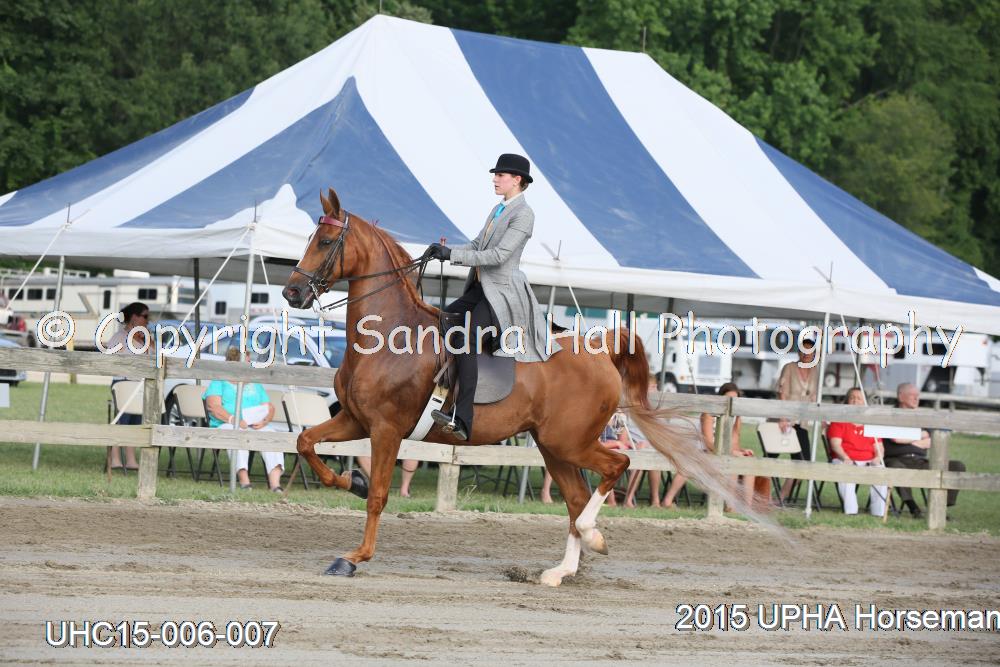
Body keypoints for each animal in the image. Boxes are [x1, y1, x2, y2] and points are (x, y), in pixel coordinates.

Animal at [282, 188, 744, 586]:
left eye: (325, 241)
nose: (291, 292)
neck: (390, 337)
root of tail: (598, 349)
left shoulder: (386, 430)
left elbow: (378, 495)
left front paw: (354, 557)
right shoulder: (356, 420)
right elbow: (306, 443)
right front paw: (351, 482)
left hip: (569, 442)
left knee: (615, 469)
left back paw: (593, 537)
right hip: (554, 448)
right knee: (576, 499)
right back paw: (560, 571)